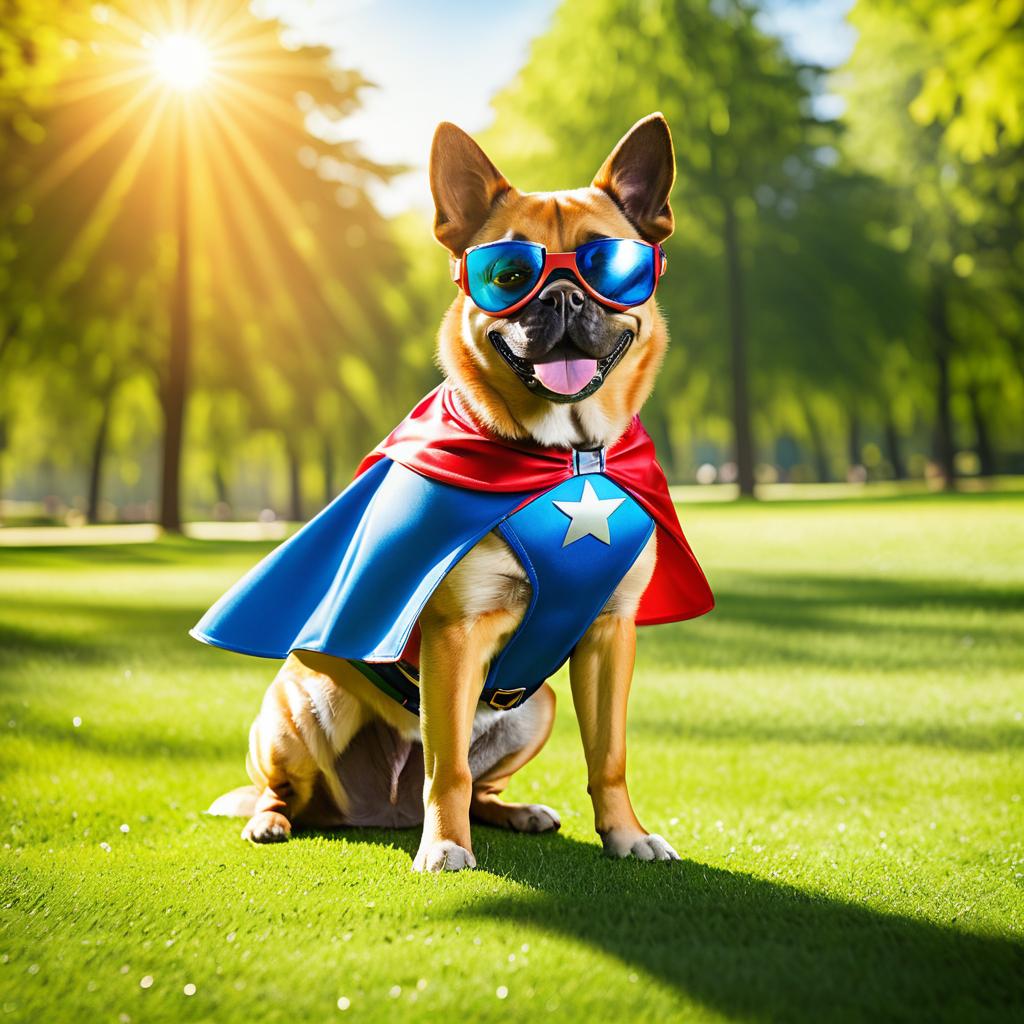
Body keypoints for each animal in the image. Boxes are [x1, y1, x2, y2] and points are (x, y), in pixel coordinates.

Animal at [199, 114, 712, 872]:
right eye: (510, 275)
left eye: (609, 267)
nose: (563, 296)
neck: (566, 460)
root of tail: (381, 812)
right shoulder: (454, 635)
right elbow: (449, 766)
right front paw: (445, 847)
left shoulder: (609, 636)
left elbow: (608, 758)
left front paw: (626, 834)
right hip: (303, 701)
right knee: (290, 789)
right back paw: (274, 820)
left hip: (536, 706)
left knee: (485, 787)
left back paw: (516, 812)